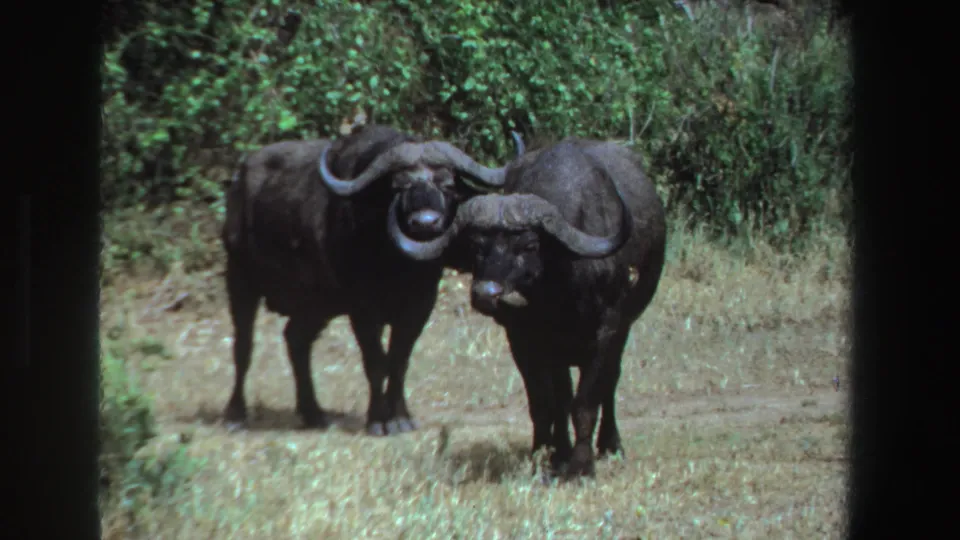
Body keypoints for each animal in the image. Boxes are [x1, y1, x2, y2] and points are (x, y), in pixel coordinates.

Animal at [221, 125, 522, 435]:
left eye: (447, 185)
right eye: (398, 186)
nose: (425, 223)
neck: (397, 265)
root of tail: (240, 177)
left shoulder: (419, 307)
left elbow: (399, 361)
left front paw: (400, 417)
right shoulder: (363, 310)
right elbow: (376, 362)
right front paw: (378, 419)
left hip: (316, 304)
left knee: (296, 340)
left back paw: (314, 413)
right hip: (239, 278)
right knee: (243, 346)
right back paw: (235, 414)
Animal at [389, 138, 667, 478]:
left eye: (529, 246)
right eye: (477, 246)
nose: (486, 293)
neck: (561, 293)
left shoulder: (608, 331)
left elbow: (587, 401)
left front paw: (581, 465)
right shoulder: (527, 341)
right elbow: (548, 402)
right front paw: (552, 455)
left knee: (610, 383)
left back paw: (610, 445)